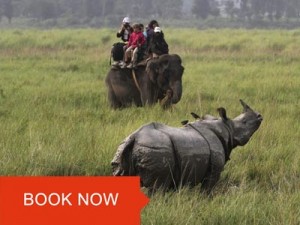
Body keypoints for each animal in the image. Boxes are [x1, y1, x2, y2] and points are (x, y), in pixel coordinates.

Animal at [110, 100, 262, 192]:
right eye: (244, 122)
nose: (260, 116)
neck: (226, 128)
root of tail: (134, 138)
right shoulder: (214, 170)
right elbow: (207, 190)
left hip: (123, 148)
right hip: (155, 149)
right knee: (156, 188)